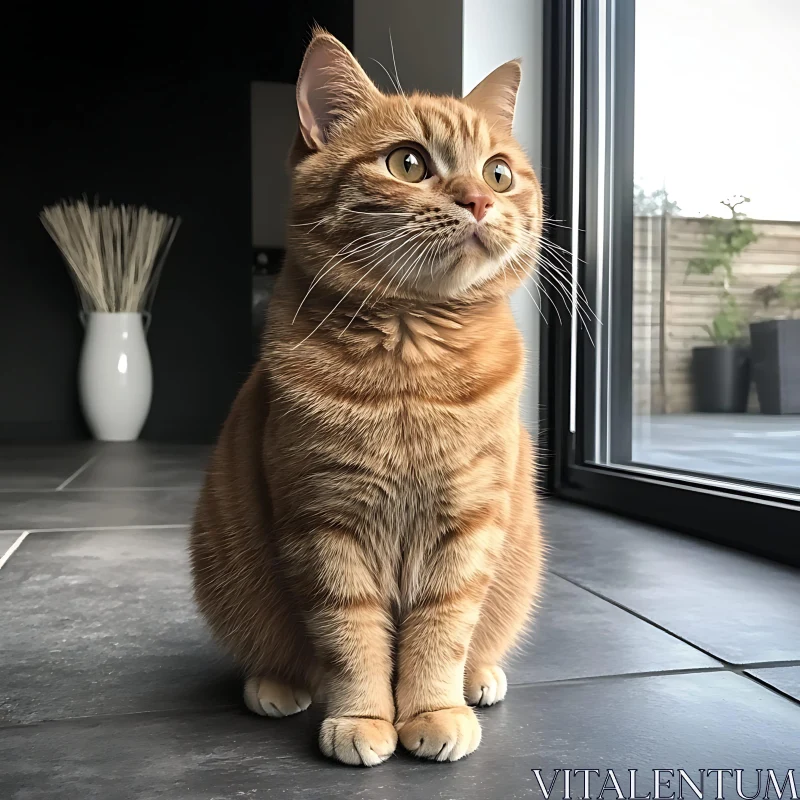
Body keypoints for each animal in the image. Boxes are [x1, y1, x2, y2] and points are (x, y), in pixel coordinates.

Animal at [191, 29, 548, 768]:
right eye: (408, 163)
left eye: (499, 173)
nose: (478, 198)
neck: (412, 368)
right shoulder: (325, 524)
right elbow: (350, 637)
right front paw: (362, 717)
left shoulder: (469, 522)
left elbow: (442, 628)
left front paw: (435, 709)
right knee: (280, 654)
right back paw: (276, 684)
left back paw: (479, 678)